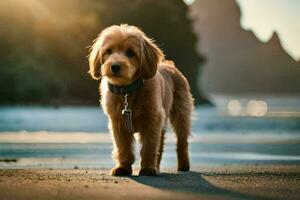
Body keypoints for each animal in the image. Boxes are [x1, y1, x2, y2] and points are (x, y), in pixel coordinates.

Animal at [88, 24, 193, 176]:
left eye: (130, 53)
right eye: (109, 51)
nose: (115, 66)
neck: (128, 90)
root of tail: (169, 65)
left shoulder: (152, 120)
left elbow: (149, 147)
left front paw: (148, 168)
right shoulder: (118, 123)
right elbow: (123, 147)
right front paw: (123, 167)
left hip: (181, 113)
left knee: (182, 141)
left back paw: (183, 165)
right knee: (161, 145)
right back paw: (157, 166)